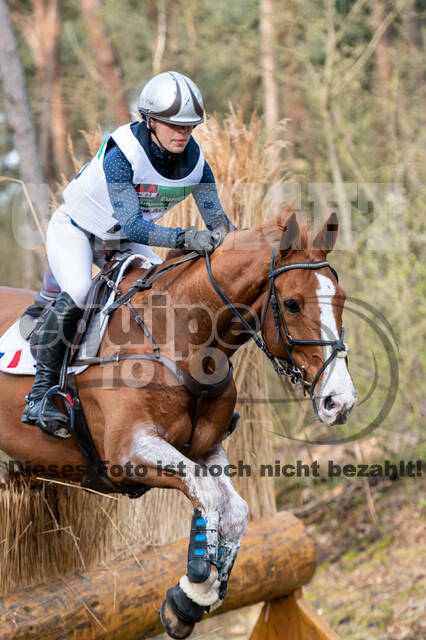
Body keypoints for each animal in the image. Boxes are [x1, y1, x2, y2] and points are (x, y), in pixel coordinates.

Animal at [0, 210, 356, 636]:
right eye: (291, 304)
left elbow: (234, 509)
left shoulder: (205, 449)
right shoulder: (128, 452)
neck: (180, 334)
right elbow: (206, 493)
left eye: (341, 299)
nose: (340, 401)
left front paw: (190, 600)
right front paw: (197, 582)